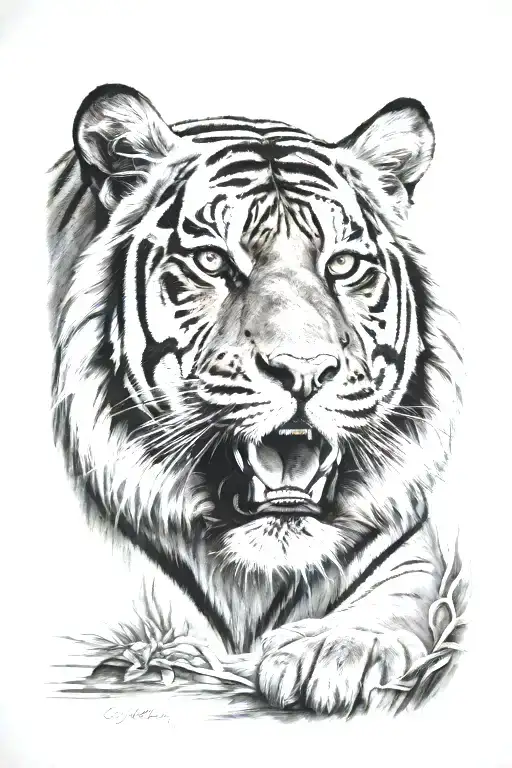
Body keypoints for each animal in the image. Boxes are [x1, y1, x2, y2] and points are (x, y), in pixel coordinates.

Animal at [47, 83, 466, 715]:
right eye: (213, 261)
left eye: (343, 264)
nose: (304, 370)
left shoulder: (411, 556)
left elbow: (393, 606)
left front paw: (334, 652)